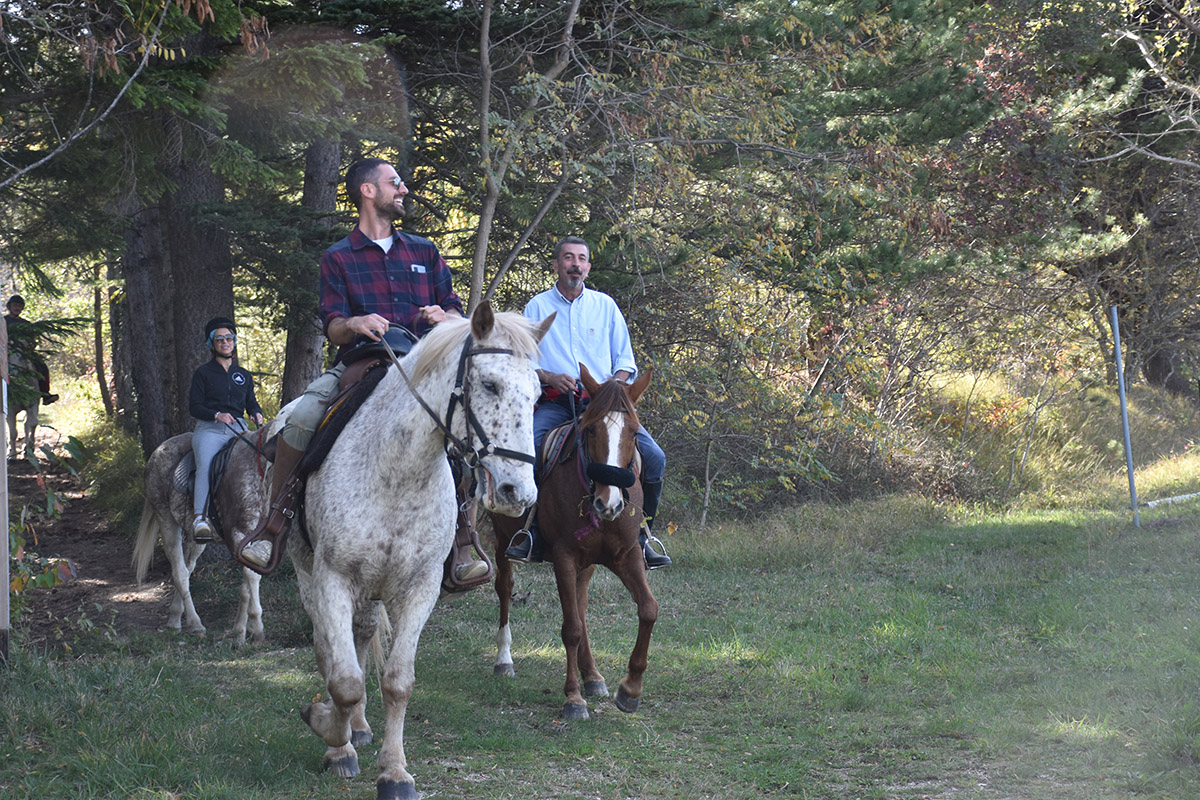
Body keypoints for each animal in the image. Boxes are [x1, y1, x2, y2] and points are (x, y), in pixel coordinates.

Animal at [487, 367, 662, 724]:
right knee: (505, 588)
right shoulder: (564, 557)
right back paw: (504, 659)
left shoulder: (627, 555)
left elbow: (648, 610)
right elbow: (571, 629)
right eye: (590, 429)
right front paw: (573, 698)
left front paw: (630, 690)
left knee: (580, 606)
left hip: (588, 564)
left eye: (634, 433)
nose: (609, 503)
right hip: (502, 538)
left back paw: (593, 676)